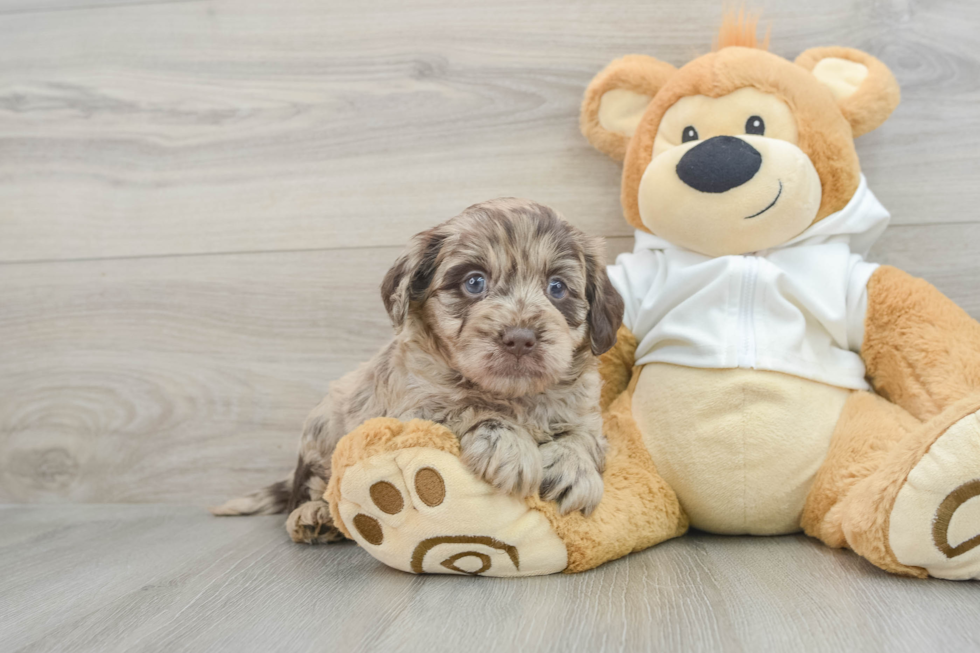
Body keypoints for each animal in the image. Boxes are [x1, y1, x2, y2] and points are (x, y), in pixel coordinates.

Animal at [216, 196, 628, 544]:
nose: (520, 338)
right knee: (312, 487)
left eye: (557, 288)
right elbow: (470, 407)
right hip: (321, 431)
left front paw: (573, 467)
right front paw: (510, 445)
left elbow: (585, 437)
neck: (512, 395)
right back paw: (312, 515)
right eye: (474, 282)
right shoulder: (415, 410)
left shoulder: (587, 412)